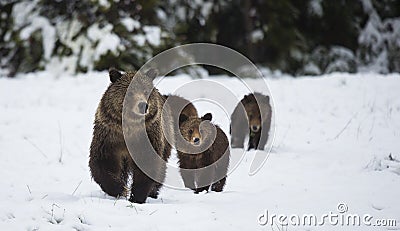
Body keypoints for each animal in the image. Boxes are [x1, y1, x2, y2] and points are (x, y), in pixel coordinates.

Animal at [89, 67, 172, 203]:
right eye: (130, 91)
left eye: (146, 91)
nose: (143, 105)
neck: (129, 128)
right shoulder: (109, 137)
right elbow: (103, 163)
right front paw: (120, 189)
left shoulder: (147, 138)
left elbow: (147, 164)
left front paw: (137, 196)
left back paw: (153, 192)